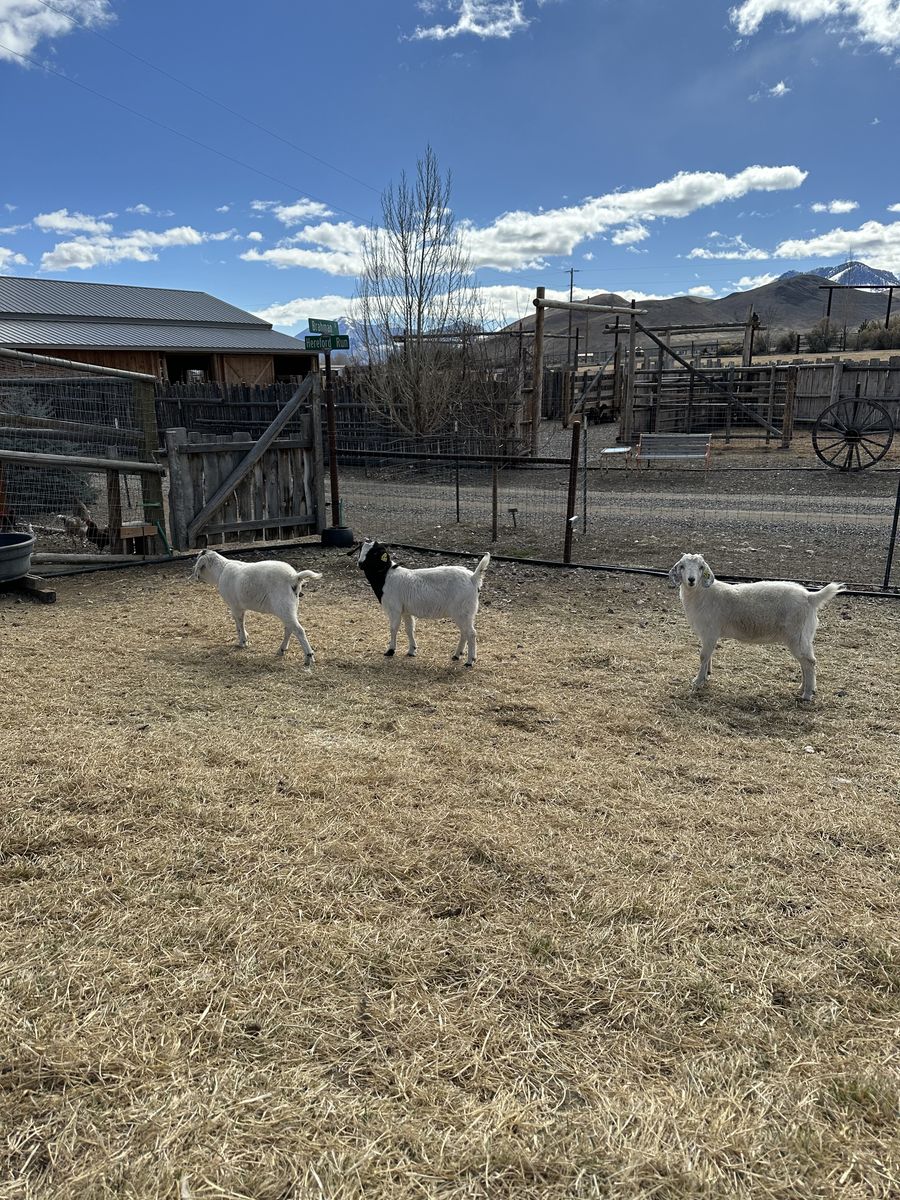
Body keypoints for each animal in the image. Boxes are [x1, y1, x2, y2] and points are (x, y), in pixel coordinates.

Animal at [191, 549, 322, 664]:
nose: (196, 576)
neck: (221, 569)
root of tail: (294, 577)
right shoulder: (239, 607)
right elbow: (238, 623)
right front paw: (243, 639)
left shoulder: (235, 606)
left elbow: (240, 623)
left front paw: (243, 642)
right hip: (291, 606)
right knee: (289, 628)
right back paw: (281, 650)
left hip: (284, 606)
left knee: (298, 630)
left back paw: (309, 657)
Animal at [357, 539, 490, 668]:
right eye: (361, 549)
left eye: (374, 553)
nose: (360, 563)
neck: (386, 577)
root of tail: (473, 578)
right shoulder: (405, 611)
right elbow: (409, 629)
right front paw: (412, 650)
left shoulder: (394, 609)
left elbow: (393, 628)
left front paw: (390, 650)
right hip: (465, 613)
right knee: (464, 632)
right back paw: (457, 655)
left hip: (462, 611)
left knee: (471, 633)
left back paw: (469, 661)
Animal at [668, 552, 845, 702]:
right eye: (682, 566)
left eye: (701, 567)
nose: (691, 580)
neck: (702, 594)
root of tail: (810, 596)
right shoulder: (709, 634)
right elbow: (709, 656)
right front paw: (706, 676)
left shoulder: (710, 631)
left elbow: (703, 656)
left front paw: (698, 681)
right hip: (804, 636)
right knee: (805, 661)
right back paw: (803, 687)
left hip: (797, 634)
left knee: (809, 662)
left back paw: (807, 694)